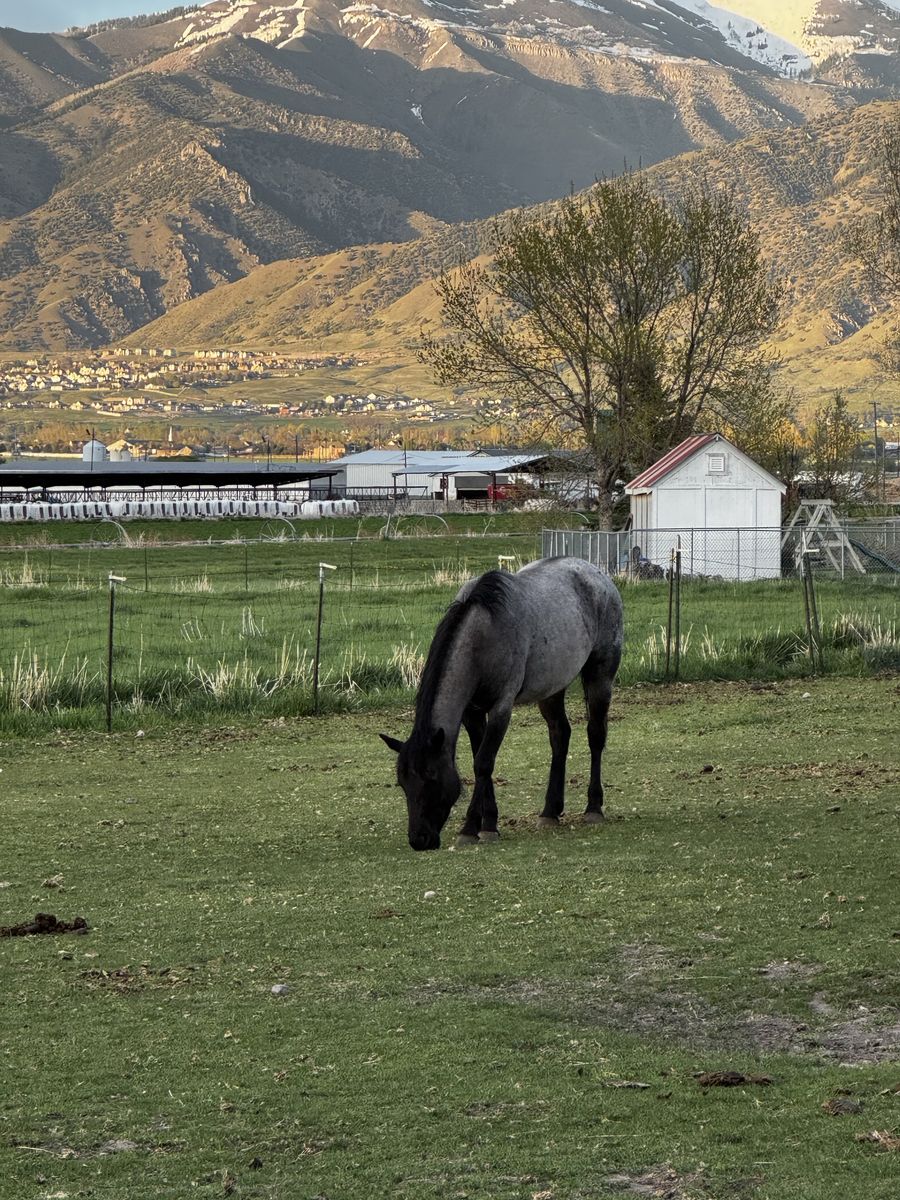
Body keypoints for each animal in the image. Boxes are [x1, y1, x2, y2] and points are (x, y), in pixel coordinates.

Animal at [380, 556, 623, 851]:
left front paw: (471, 827)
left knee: (595, 736)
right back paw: (550, 811)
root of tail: (598, 574)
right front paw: (489, 822)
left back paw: (594, 808)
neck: (484, 634)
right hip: (551, 688)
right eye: (403, 782)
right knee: (560, 735)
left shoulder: (501, 709)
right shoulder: (472, 713)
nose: (419, 839)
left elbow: (483, 763)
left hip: (600, 676)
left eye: (432, 776)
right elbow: (479, 758)